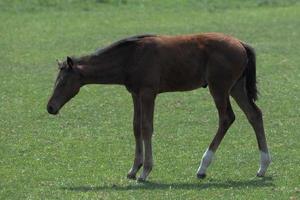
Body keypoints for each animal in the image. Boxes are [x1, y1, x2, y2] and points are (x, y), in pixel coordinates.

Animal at [47, 32, 272, 181]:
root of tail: (241, 43)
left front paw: (145, 171)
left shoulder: (148, 93)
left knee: (226, 118)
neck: (130, 57)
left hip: (219, 88)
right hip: (236, 87)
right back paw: (262, 167)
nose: (50, 107)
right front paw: (133, 169)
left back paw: (203, 166)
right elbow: (136, 127)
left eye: (63, 82)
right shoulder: (135, 94)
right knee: (254, 115)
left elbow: (147, 128)